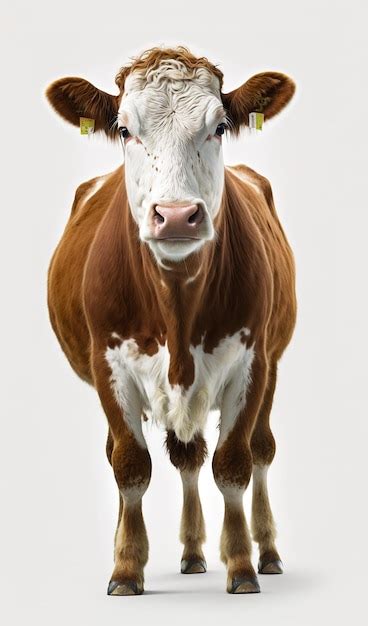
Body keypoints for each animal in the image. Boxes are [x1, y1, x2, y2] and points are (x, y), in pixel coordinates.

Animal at [46, 46, 296, 592]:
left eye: (220, 125)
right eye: (123, 129)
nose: (177, 215)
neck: (177, 309)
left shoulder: (252, 362)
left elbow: (234, 464)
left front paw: (241, 563)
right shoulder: (108, 365)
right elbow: (130, 465)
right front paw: (125, 565)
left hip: (273, 363)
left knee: (260, 450)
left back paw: (264, 550)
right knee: (170, 455)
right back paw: (185, 551)